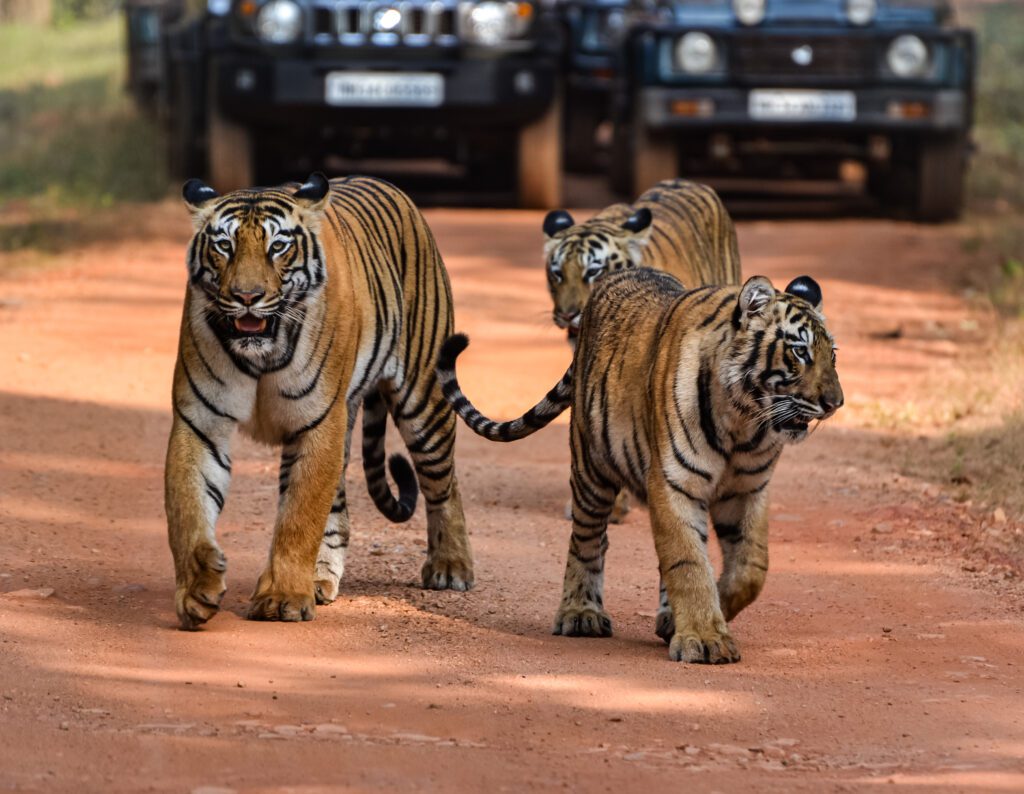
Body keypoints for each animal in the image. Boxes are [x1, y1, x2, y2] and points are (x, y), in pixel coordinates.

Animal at [165, 174, 473, 635]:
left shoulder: (318, 421)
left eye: (277, 246)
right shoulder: (200, 422)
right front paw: (197, 588)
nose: (247, 296)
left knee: (444, 485)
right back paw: (319, 579)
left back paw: (451, 566)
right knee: (339, 509)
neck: (261, 351)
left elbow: (299, 516)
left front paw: (281, 598)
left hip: (425, 399)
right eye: (224, 245)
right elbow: (187, 508)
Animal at [436, 268, 843, 663]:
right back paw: (580, 614)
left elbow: (750, 567)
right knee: (587, 541)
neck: (744, 424)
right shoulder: (673, 483)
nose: (835, 403)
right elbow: (688, 562)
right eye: (800, 351)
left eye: (833, 355)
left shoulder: (748, 489)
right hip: (590, 469)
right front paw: (704, 638)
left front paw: (690, 620)